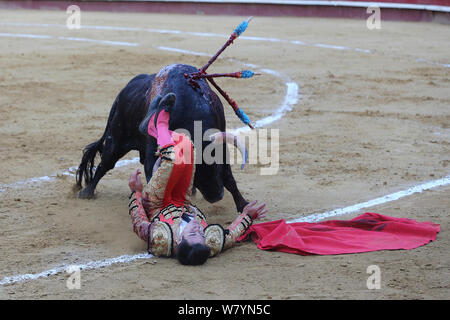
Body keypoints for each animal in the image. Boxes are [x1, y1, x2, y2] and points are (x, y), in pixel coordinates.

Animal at [75, 63, 248, 212]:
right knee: (105, 163)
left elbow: (229, 178)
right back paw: (86, 192)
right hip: (116, 138)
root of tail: (124, 91)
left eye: (216, 165)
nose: (216, 196)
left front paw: (243, 205)